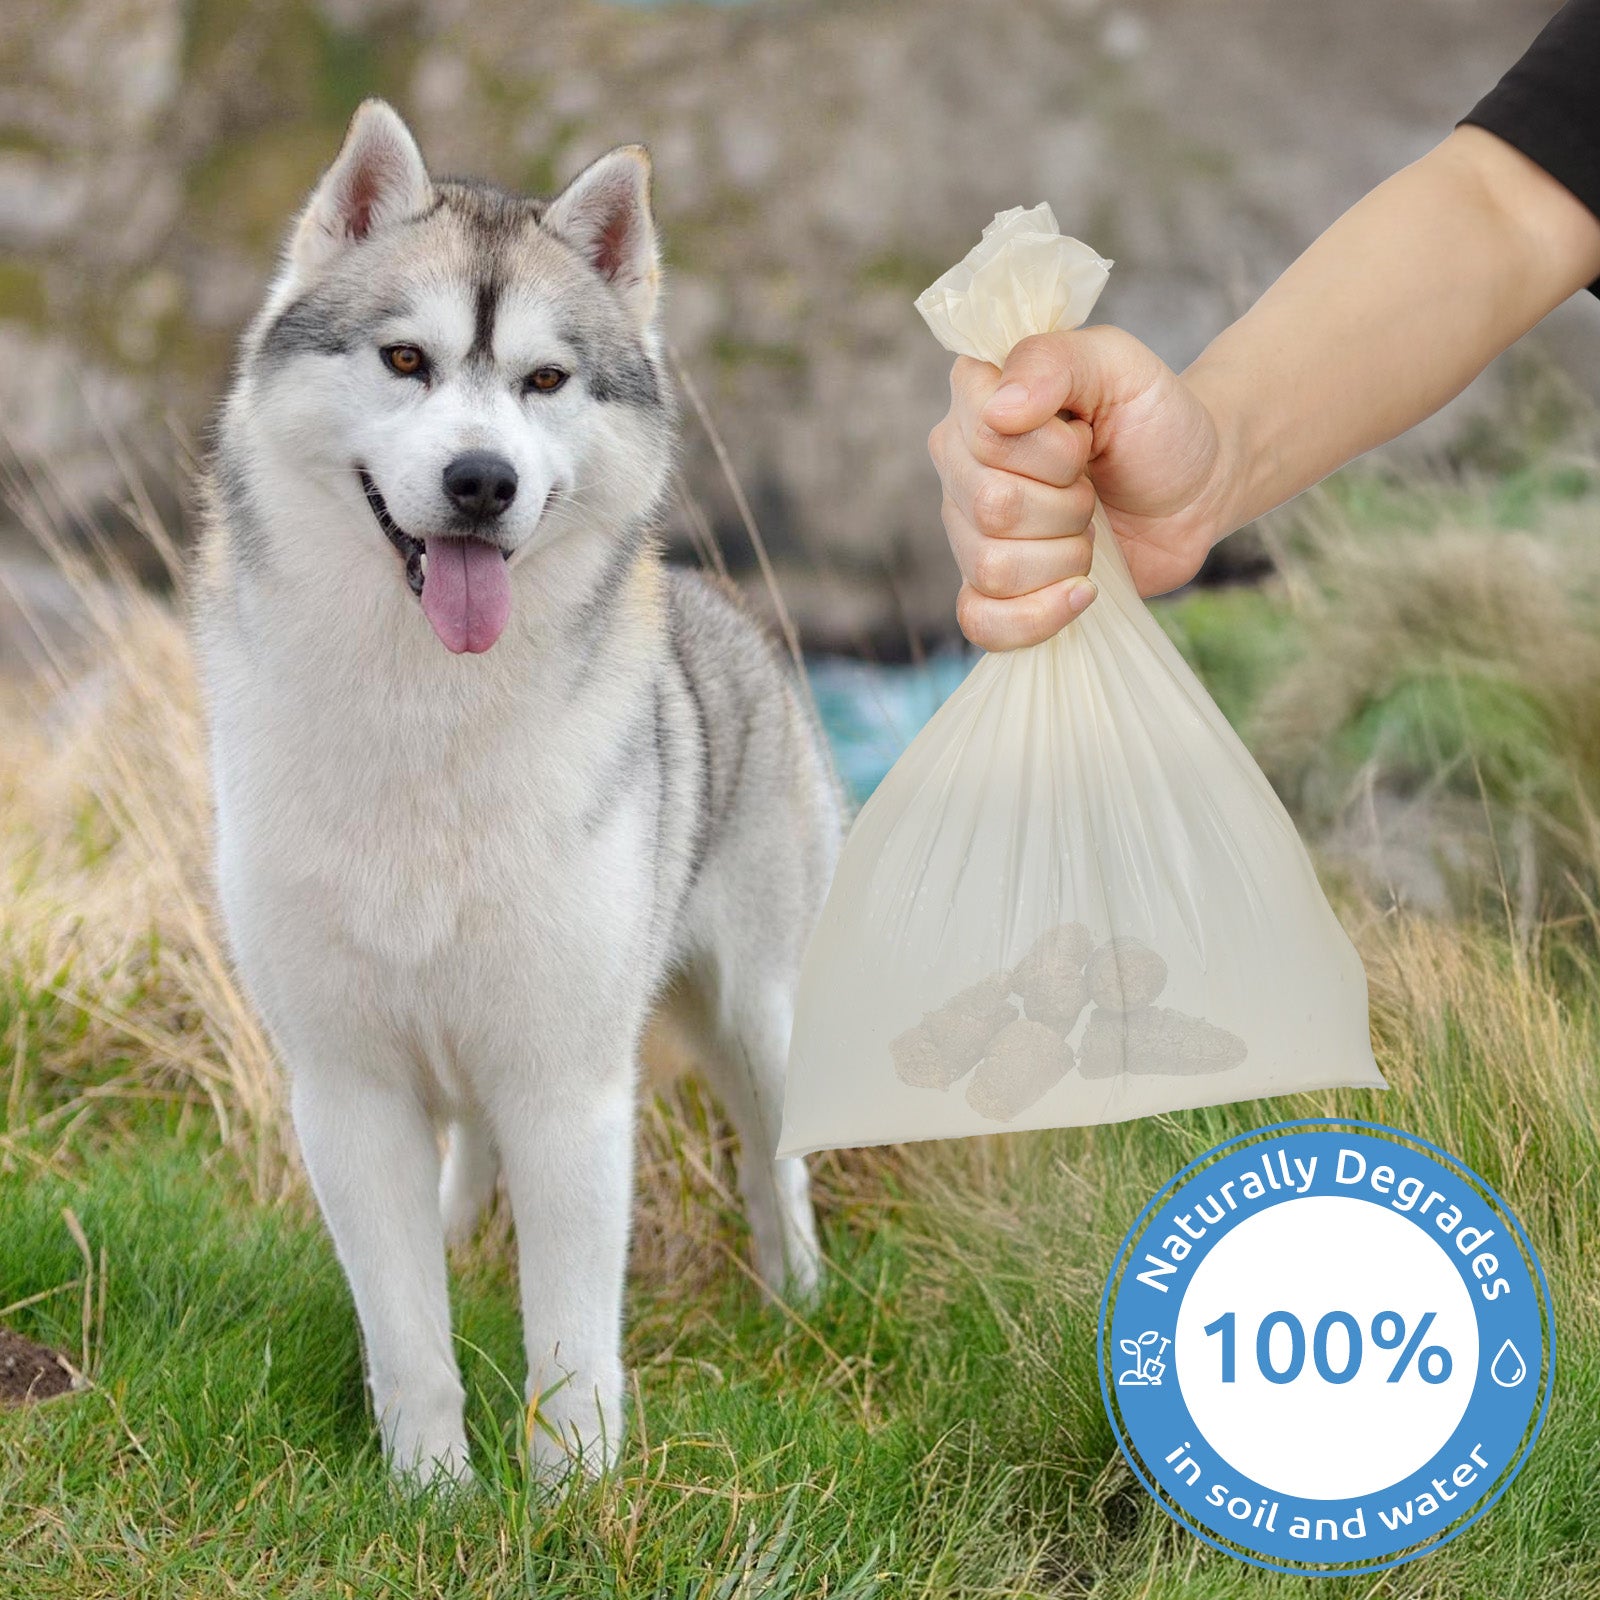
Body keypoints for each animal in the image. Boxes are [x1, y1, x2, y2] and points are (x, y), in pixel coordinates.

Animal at [193, 96, 844, 1472]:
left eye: (545, 380)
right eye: (404, 360)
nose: (482, 480)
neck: (425, 715)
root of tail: (727, 613)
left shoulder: (569, 1086)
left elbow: (571, 1342)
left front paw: (575, 1487)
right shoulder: (349, 1088)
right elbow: (407, 1333)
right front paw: (430, 1487)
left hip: (756, 1011)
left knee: (778, 1165)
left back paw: (799, 1300)